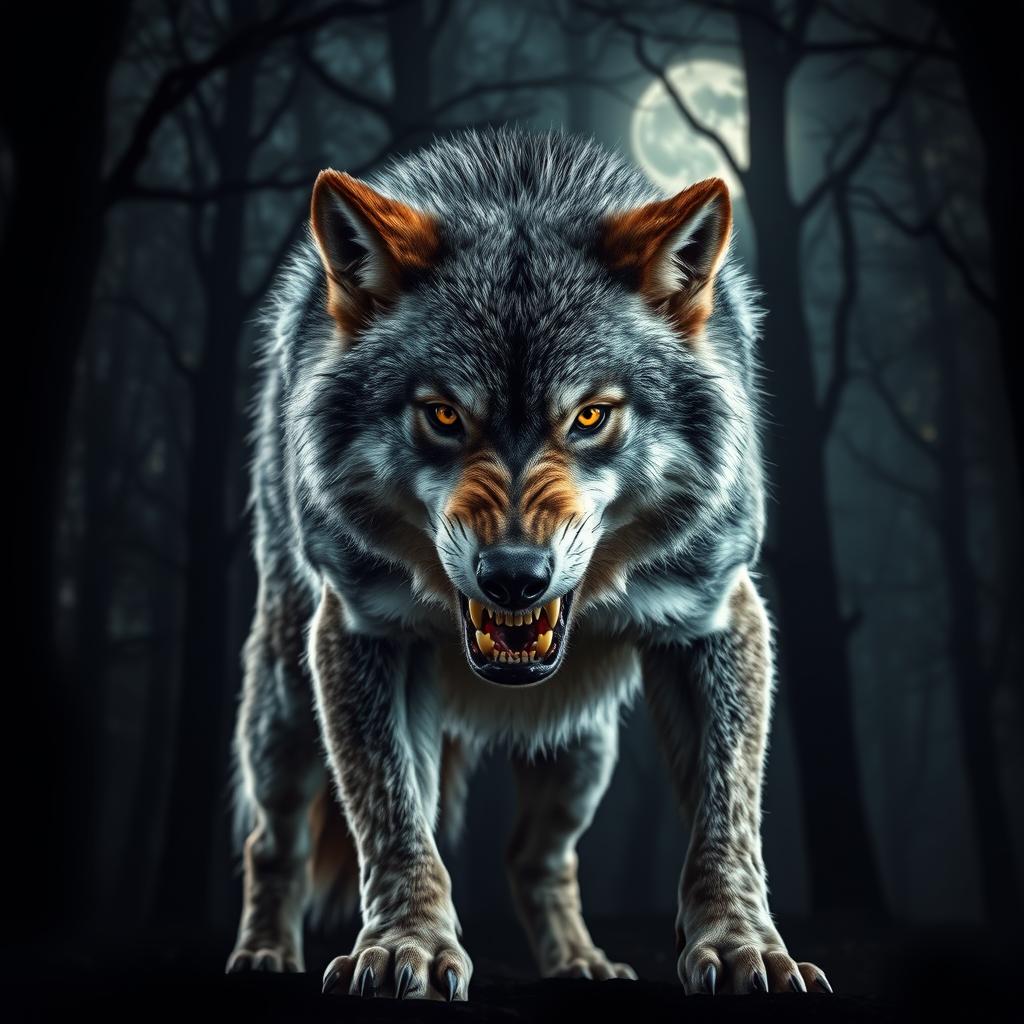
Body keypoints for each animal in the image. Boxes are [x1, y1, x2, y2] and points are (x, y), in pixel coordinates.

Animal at [226, 128, 831, 1000]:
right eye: (444, 415)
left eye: (590, 416)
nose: (514, 574)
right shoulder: (362, 629)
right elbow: (394, 820)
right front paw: (408, 948)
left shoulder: (716, 616)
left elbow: (728, 818)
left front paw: (744, 946)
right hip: (284, 709)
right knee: (274, 842)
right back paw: (264, 954)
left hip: (579, 748)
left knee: (534, 859)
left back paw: (581, 965)